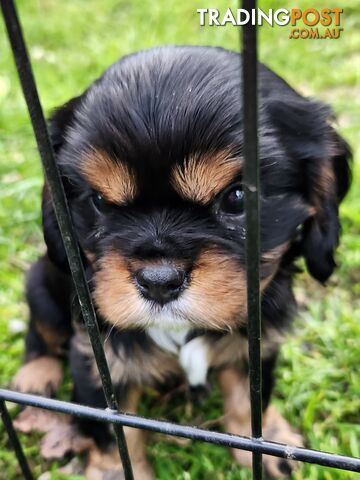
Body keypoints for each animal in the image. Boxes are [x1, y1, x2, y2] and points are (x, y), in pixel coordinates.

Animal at [13, 45, 348, 476]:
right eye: (100, 202)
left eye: (237, 197)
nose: (159, 281)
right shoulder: (96, 355)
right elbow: (115, 430)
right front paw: (114, 471)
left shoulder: (259, 344)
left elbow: (251, 402)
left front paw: (269, 445)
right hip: (41, 285)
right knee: (41, 332)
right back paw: (35, 376)